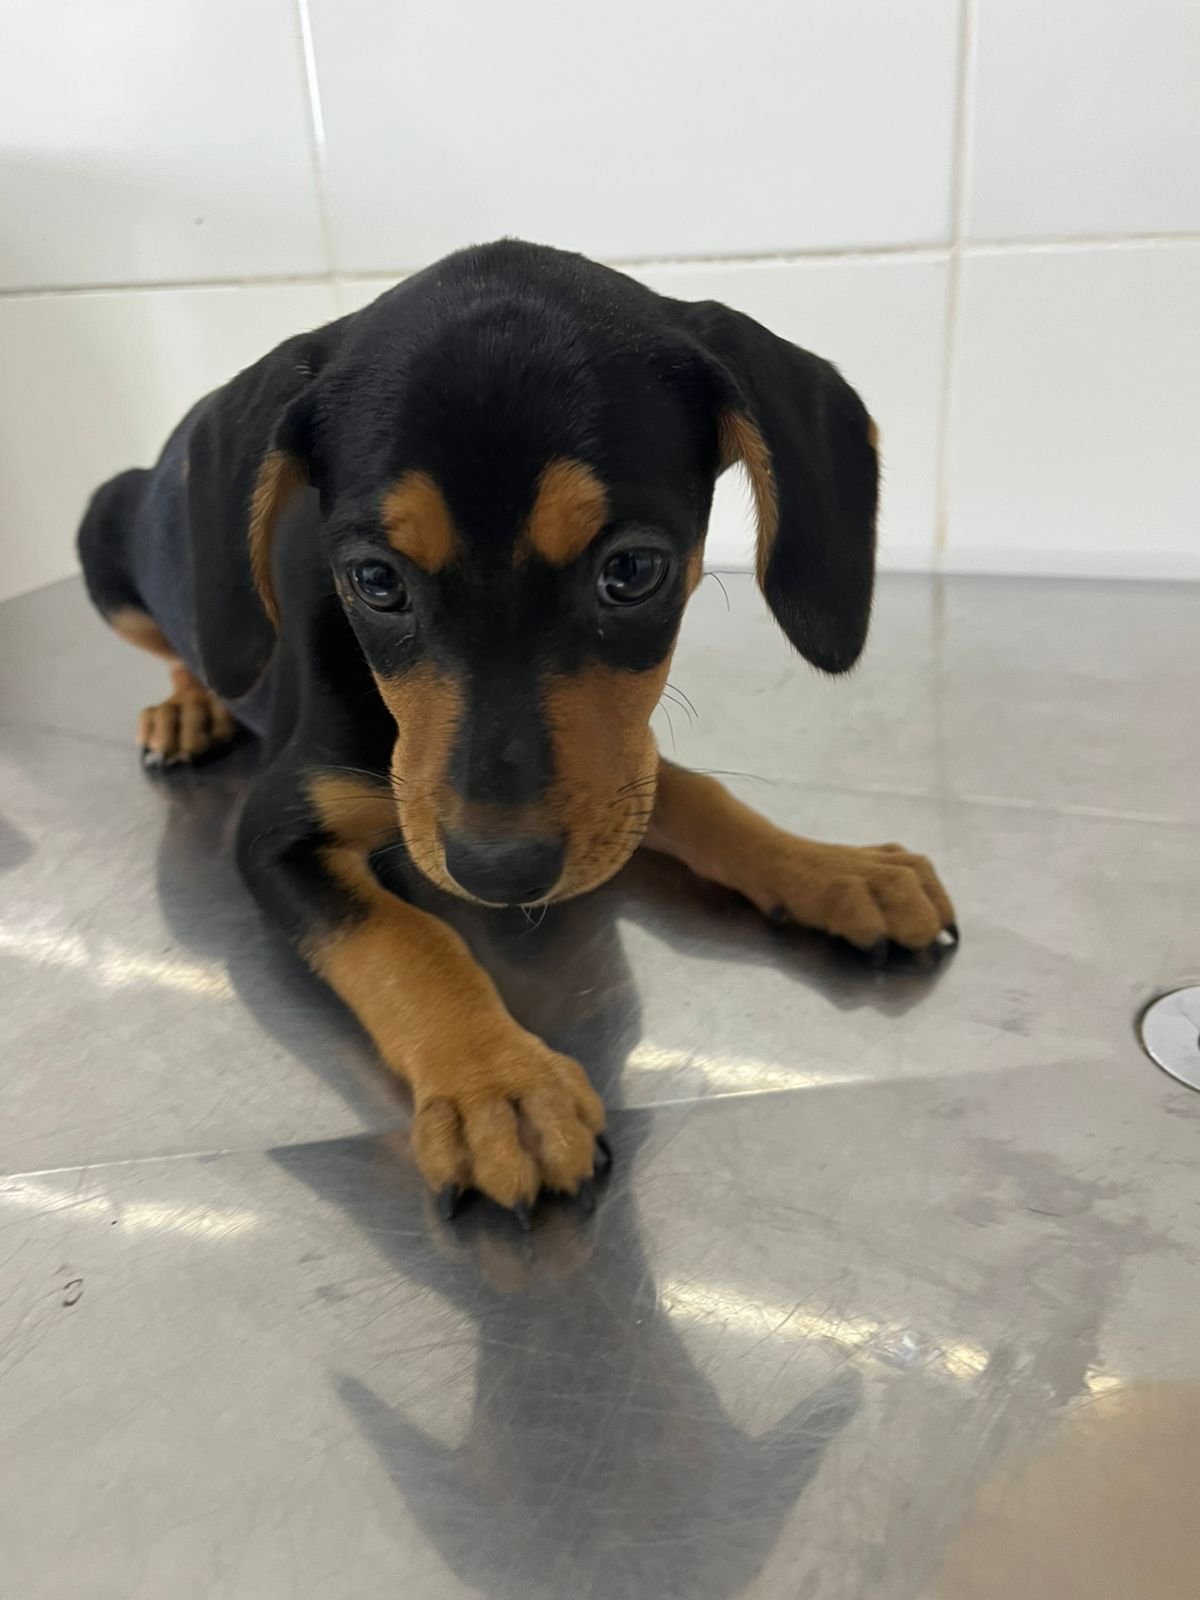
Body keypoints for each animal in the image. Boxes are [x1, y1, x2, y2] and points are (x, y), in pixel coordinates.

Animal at [78, 239, 956, 1220]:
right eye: (375, 580)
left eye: (634, 570)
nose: (500, 872)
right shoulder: (275, 831)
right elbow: (405, 940)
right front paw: (495, 1085)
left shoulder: (617, 769)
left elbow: (699, 797)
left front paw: (833, 869)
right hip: (109, 539)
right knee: (182, 647)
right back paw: (188, 706)